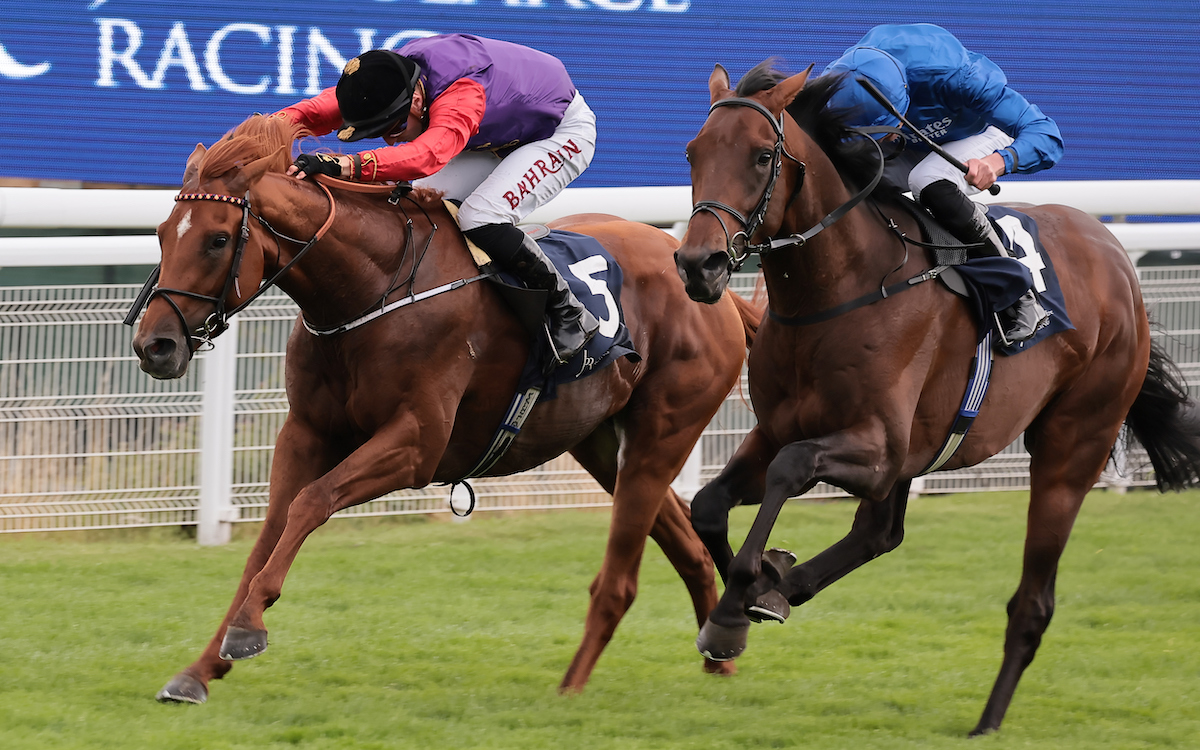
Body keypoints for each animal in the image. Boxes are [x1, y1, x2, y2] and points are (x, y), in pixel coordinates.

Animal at [129, 112, 758, 700]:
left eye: (216, 239)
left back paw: (572, 688)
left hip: (662, 434)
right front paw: (201, 670)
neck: (370, 290)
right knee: (689, 550)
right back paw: (719, 663)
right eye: (161, 234)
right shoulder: (305, 433)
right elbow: (265, 541)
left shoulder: (417, 443)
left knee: (623, 578)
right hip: (601, 443)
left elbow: (311, 503)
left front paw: (247, 630)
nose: (154, 345)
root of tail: (706, 279)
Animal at [672, 61, 1200, 734]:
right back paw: (784, 585)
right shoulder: (782, 430)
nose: (699, 265)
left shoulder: (877, 449)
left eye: (763, 155)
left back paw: (987, 723)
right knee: (878, 533)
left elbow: (789, 470)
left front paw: (741, 598)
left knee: (1033, 600)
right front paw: (751, 593)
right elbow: (709, 505)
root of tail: (1116, 257)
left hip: (1072, 447)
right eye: (693, 152)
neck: (837, 291)